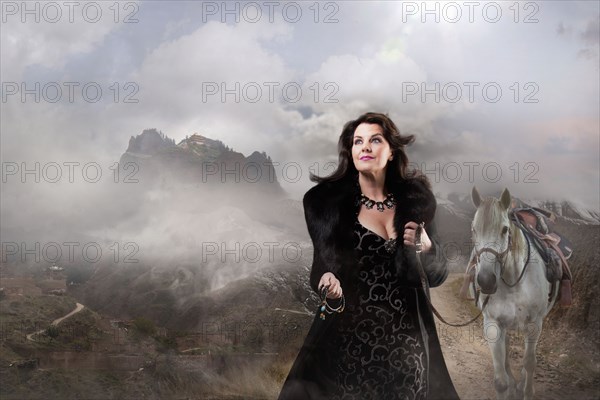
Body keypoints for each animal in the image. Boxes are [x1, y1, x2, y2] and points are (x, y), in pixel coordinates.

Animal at [472, 188, 560, 400]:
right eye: (474, 230)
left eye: (505, 229)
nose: (486, 280)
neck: (513, 280)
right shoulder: (492, 323)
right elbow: (500, 380)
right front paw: (509, 386)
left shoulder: (535, 323)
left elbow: (530, 362)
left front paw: (526, 391)